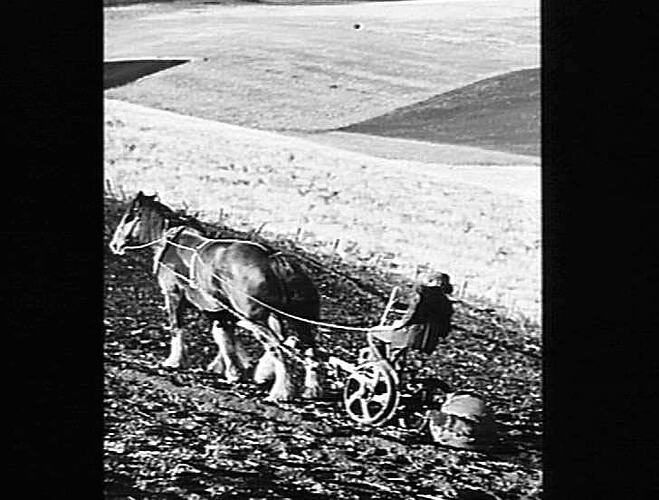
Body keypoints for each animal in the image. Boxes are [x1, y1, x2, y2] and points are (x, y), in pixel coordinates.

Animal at [109, 189, 324, 400]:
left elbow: (177, 328)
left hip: (257, 318)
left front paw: (175, 361)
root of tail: (273, 259)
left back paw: (280, 391)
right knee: (309, 349)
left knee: (277, 347)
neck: (172, 244)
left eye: (128, 218)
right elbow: (225, 337)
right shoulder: (220, 310)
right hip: (301, 321)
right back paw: (310, 389)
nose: (114, 244)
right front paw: (231, 370)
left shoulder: (173, 296)